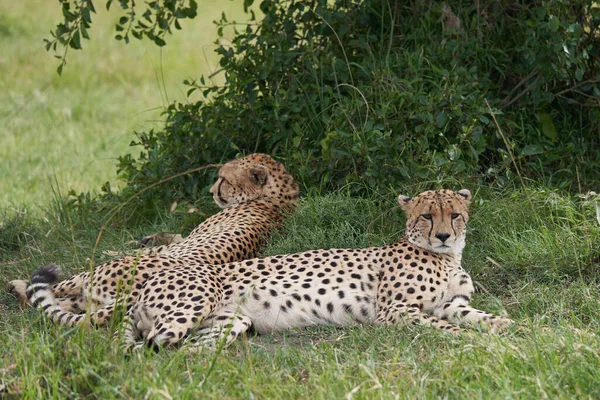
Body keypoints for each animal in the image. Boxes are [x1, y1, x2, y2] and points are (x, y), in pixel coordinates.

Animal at [24, 154, 300, 328]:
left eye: (224, 179)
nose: (211, 192)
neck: (277, 200)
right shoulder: (185, 238)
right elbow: (171, 234)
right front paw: (145, 237)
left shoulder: (180, 243)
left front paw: (119, 246)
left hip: (92, 277)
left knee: (50, 290)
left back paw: (19, 286)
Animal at [108, 188, 510, 350]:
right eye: (427, 215)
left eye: (454, 215)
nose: (443, 235)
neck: (446, 257)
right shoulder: (394, 310)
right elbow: (443, 325)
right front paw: (473, 339)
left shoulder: (451, 303)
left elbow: (481, 316)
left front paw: (506, 327)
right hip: (191, 306)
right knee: (141, 349)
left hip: (228, 323)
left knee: (189, 351)